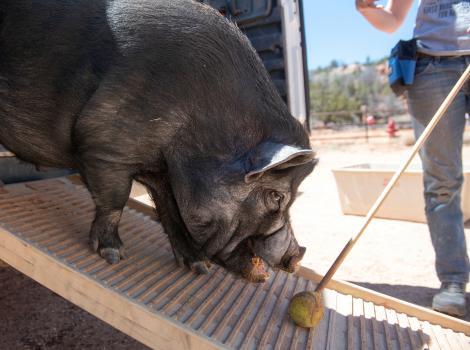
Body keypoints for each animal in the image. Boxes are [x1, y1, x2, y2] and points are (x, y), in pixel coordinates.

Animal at [0, 0, 318, 282]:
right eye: (276, 197)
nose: (296, 257)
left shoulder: (160, 170)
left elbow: (170, 212)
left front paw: (198, 267)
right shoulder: (103, 146)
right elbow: (115, 200)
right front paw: (114, 256)